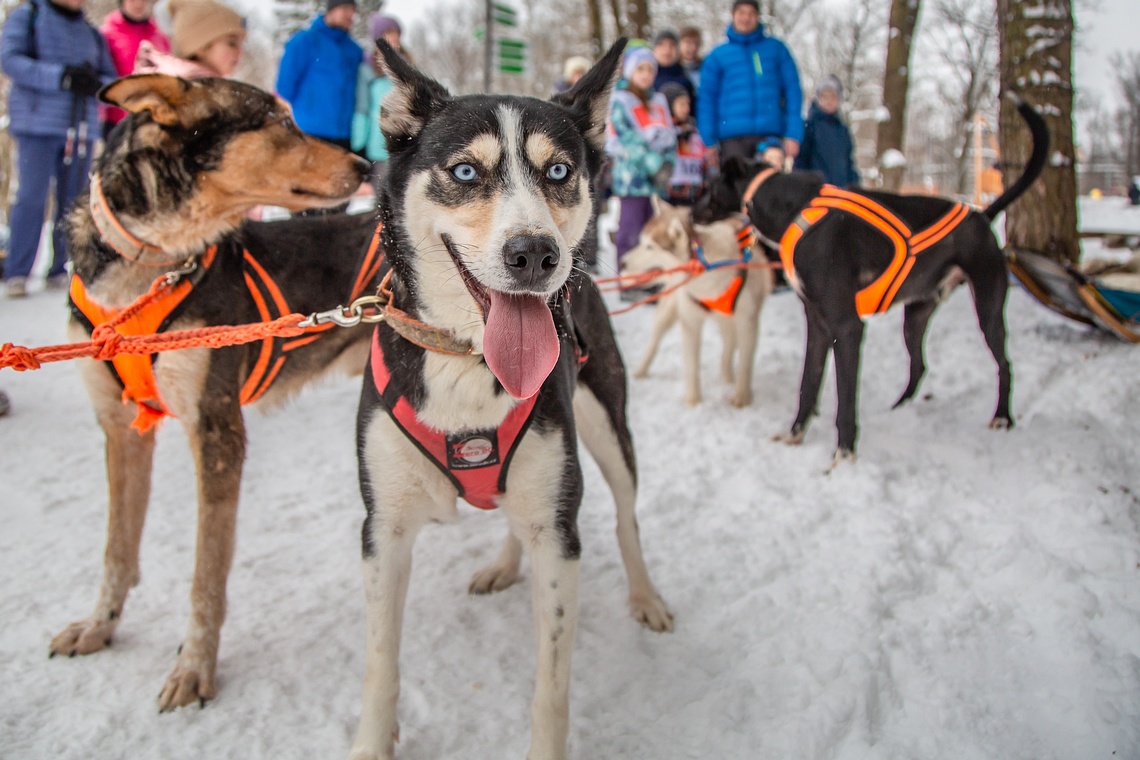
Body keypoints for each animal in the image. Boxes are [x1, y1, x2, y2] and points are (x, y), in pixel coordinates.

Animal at [688, 95, 1044, 464]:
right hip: (915, 315)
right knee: (919, 366)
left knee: (1004, 364)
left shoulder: (847, 327)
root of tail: (981, 215)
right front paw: (795, 435)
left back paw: (1003, 417)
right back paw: (900, 410)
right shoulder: (817, 323)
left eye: (708, 187)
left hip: (988, 305)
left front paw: (843, 455)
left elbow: (845, 400)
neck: (792, 209)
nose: (689, 212)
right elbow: (808, 384)